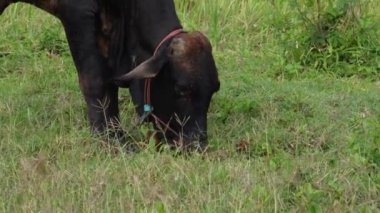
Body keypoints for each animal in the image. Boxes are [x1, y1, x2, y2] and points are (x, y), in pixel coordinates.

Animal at [0, 0, 220, 151]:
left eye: (214, 89)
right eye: (181, 89)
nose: (197, 146)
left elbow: (109, 84)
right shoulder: (79, 15)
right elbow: (95, 80)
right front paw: (109, 139)